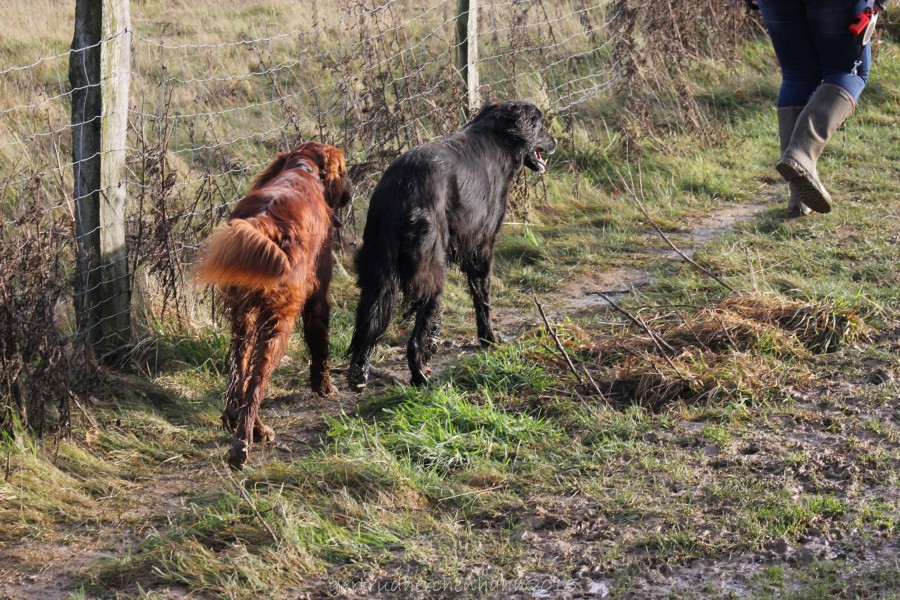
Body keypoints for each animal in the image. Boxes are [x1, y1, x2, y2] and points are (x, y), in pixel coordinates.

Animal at [194, 142, 351, 469]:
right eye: (344, 171)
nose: (347, 195)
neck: (303, 169)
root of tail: (264, 223)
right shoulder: (317, 297)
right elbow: (321, 349)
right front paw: (324, 387)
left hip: (243, 319)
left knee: (239, 376)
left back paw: (242, 424)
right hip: (279, 324)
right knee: (256, 383)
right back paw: (243, 444)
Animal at [346, 101, 557, 389]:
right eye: (541, 126)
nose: (555, 141)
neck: (499, 137)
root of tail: (400, 189)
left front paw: (435, 342)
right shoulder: (482, 247)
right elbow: (482, 299)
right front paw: (489, 339)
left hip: (380, 268)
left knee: (369, 320)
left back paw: (359, 374)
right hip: (430, 266)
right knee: (414, 336)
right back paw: (419, 377)